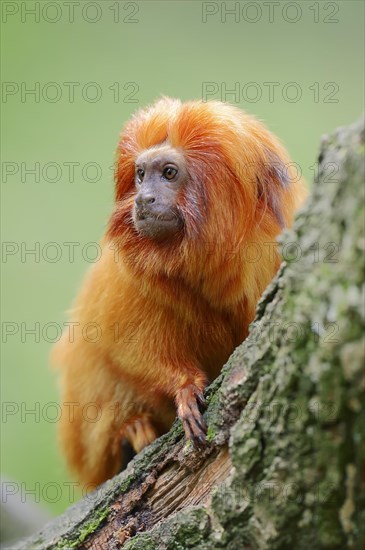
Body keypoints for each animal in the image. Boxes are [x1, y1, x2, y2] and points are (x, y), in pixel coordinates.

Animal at [52, 97, 308, 490]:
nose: (143, 200)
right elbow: (121, 342)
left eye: (169, 173)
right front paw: (184, 388)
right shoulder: (127, 275)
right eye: (141, 174)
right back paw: (131, 436)